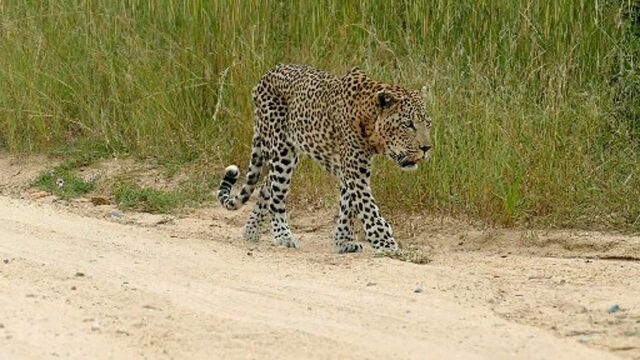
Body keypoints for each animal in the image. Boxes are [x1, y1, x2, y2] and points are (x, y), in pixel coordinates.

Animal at [218, 64, 432, 255]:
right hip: (281, 151)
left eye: (428, 124)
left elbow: (348, 206)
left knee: (265, 186)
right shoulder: (355, 172)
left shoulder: (350, 171)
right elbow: (369, 209)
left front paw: (343, 241)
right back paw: (282, 236)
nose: (427, 148)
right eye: (408, 124)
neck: (370, 121)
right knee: (276, 196)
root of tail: (266, 75)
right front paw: (386, 245)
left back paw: (251, 231)